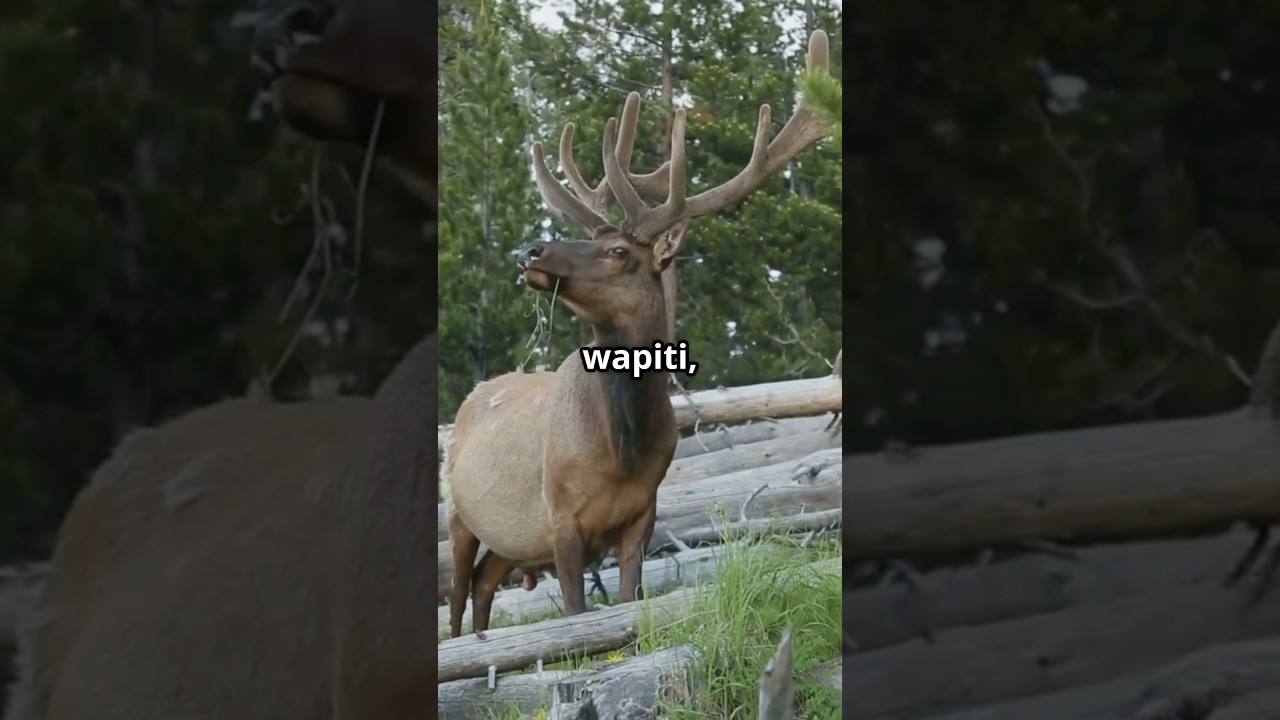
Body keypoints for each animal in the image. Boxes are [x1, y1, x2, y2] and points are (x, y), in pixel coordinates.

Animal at [441, 29, 832, 638]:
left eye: (619, 251)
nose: (531, 249)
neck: (620, 448)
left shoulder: (641, 516)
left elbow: (628, 604)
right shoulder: (559, 519)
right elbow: (576, 614)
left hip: (508, 542)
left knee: (483, 586)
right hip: (458, 514)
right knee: (456, 600)